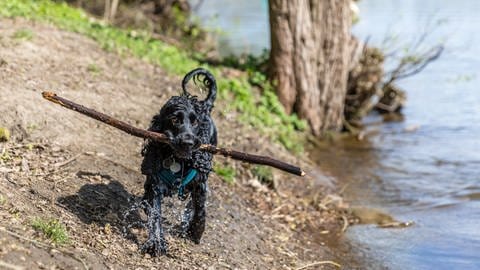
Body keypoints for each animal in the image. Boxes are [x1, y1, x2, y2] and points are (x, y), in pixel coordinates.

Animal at [140, 67, 217, 255]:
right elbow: (155, 212)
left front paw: (196, 231)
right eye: (175, 119)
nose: (188, 142)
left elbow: (200, 210)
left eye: (195, 122)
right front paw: (156, 242)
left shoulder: (200, 184)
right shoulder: (155, 184)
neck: (179, 161)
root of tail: (204, 106)